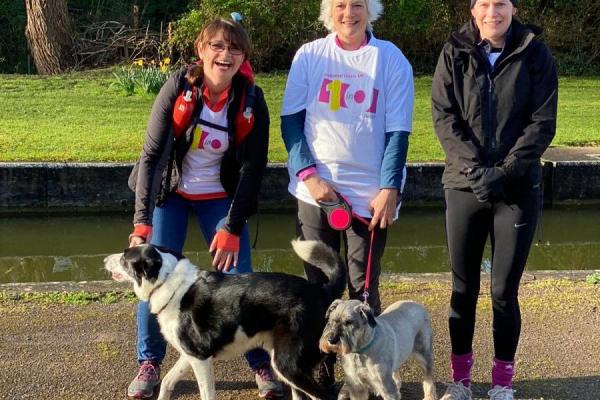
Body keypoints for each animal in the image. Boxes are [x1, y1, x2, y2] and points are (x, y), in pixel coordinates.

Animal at [105, 241, 344, 400]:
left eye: (124, 258)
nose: (105, 259)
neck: (167, 283)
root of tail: (321, 290)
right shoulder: (192, 354)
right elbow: (166, 382)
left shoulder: (200, 359)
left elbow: (206, 394)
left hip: (288, 364)